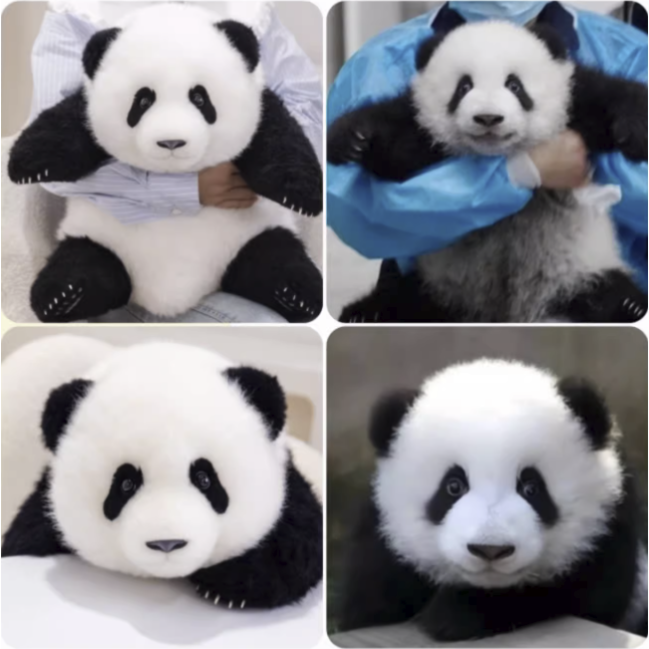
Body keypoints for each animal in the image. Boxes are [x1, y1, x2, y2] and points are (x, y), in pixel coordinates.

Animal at [2, 340, 323, 610]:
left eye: (205, 479)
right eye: (126, 484)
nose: (167, 543)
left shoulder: (289, 488)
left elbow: (293, 549)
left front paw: (227, 585)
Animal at [8, 3, 323, 324]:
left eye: (199, 97)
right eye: (143, 101)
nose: (171, 142)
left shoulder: (260, 105)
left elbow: (280, 140)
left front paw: (300, 194)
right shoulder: (87, 107)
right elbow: (63, 127)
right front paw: (27, 166)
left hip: (249, 234)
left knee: (273, 256)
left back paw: (297, 296)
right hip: (100, 236)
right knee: (85, 261)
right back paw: (63, 297)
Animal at [328, 20, 648, 324]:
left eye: (515, 85)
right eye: (463, 87)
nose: (488, 118)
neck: (498, 154)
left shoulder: (574, 101)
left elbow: (612, 96)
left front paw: (634, 131)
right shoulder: (420, 129)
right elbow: (396, 154)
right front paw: (353, 140)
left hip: (580, 269)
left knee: (607, 292)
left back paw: (630, 305)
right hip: (437, 282)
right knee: (402, 299)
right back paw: (365, 313)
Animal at [337, 359, 647, 641]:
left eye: (531, 488)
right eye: (453, 486)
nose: (490, 550)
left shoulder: (606, 528)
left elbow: (579, 597)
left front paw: (456, 615)